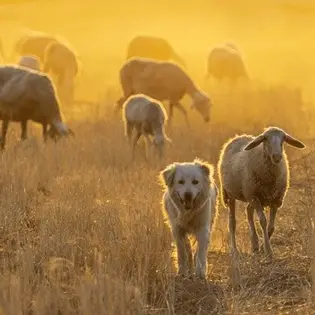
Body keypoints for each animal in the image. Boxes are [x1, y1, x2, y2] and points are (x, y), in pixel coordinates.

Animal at [218, 126, 304, 260]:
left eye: (284, 138)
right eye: (265, 138)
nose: (277, 156)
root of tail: (238, 137)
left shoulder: (276, 200)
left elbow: (272, 226)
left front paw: (263, 246)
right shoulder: (256, 198)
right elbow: (263, 221)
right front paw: (268, 251)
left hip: (250, 195)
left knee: (248, 211)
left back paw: (255, 244)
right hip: (233, 194)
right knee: (232, 223)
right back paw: (235, 251)